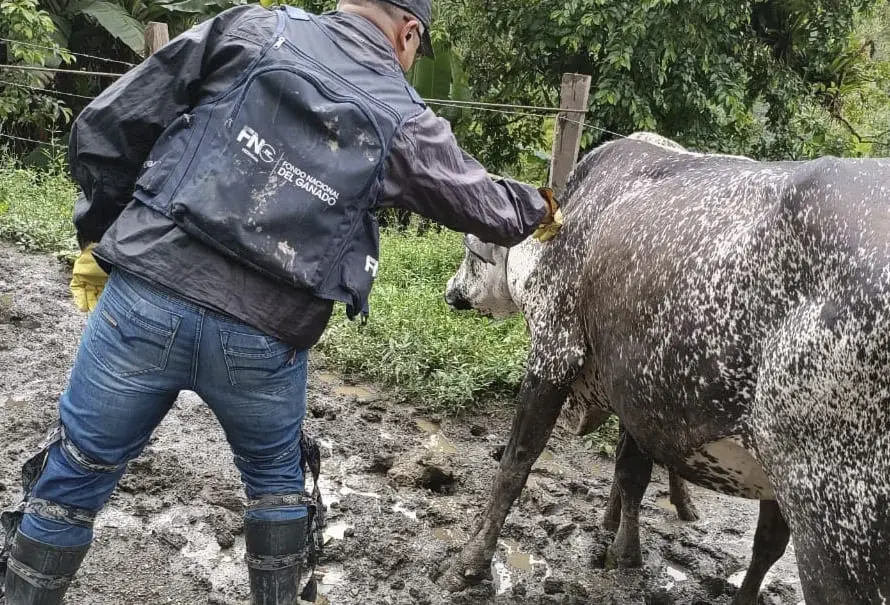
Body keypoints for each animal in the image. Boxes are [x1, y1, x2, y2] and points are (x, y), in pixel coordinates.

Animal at [438, 133, 888, 604]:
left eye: (470, 251)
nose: (451, 291)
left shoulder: (555, 350)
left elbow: (515, 464)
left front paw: (470, 563)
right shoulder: (637, 390)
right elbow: (632, 474)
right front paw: (618, 539)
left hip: (831, 524)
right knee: (768, 542)